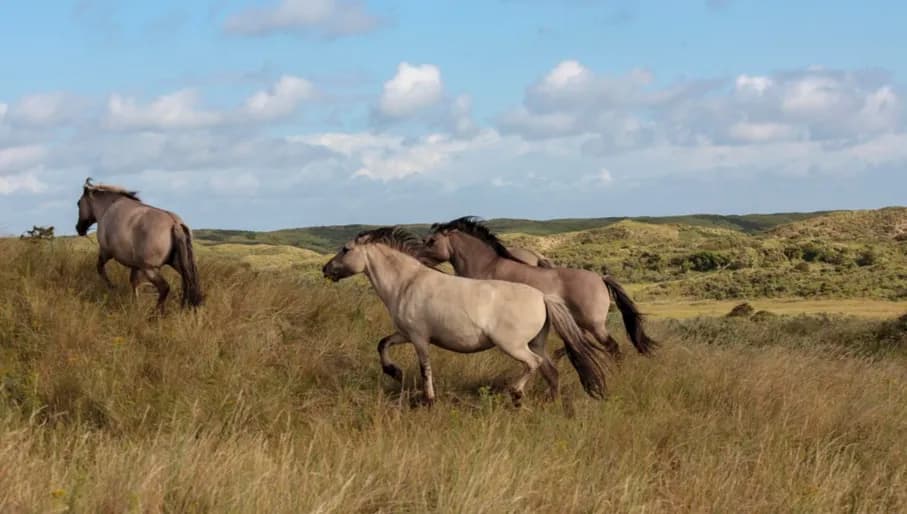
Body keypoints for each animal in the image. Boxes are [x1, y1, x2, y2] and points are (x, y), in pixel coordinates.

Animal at [76, 178, 203, 312]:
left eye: (78, 203)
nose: (79, 228)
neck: (108, 207)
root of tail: (175, 223)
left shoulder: (105, 252)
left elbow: (100, 269)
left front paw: (112, 287)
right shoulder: (135, 265)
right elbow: (134, 282)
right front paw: (135, 304)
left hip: (150, 269)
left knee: (165, 288)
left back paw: (156, 313)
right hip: (177, 264)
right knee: (187, 283)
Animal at [322, 227, 609, 405]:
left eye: (345, 249)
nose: (325, 269)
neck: (407, 282)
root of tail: (542, 297)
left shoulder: (419, 337)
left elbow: (424, 367)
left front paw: (428, 400)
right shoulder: (404, 333)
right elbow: (382, 344)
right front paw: (394, 372)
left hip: (514, 345)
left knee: (533, 363)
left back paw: (516, 395)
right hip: (536, 342)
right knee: (550, 370)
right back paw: (551, 403)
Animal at [421, 217, 657, 362]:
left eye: (431, 241)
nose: (418, 257)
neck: (487, 266)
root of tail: (601, 277)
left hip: (594, 324)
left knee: (612, 346)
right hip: (579, 322)